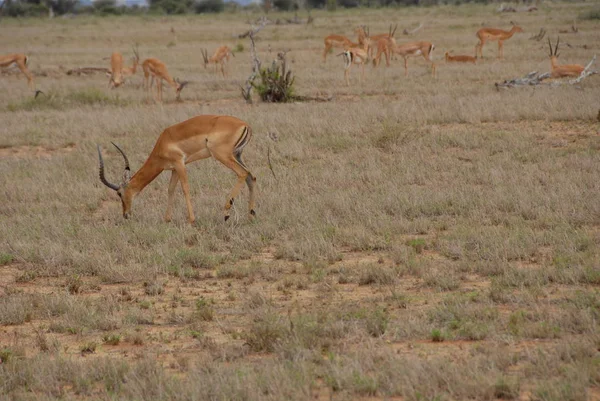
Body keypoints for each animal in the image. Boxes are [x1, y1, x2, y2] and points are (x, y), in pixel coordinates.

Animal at [98, 115, 255, 222]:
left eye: (119, 193)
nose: (125, 214)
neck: (163, 142)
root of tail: (245, 125)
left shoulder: (180, 163)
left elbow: (185, 188)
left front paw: (191, 219)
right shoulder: (174, 168)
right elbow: (171, 189)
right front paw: (167, 219)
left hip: (223, 156)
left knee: (243, 173)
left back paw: (226, 212)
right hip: (237, 155)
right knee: (251, 176)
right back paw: (250, 215)